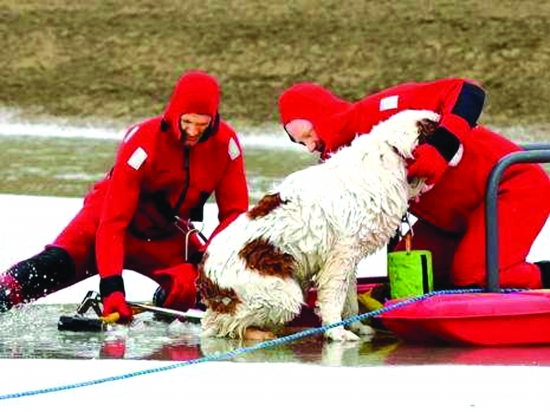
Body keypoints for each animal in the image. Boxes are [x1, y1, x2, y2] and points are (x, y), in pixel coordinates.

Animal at [198, 109, 440, 342]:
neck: (388, 153)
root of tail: (205, 274)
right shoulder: (340, 257)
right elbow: (334, 298)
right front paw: (337, 332)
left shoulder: (349, 259)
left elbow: (350, 299)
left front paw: (356, 326)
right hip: (283, 295)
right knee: (218, 324)